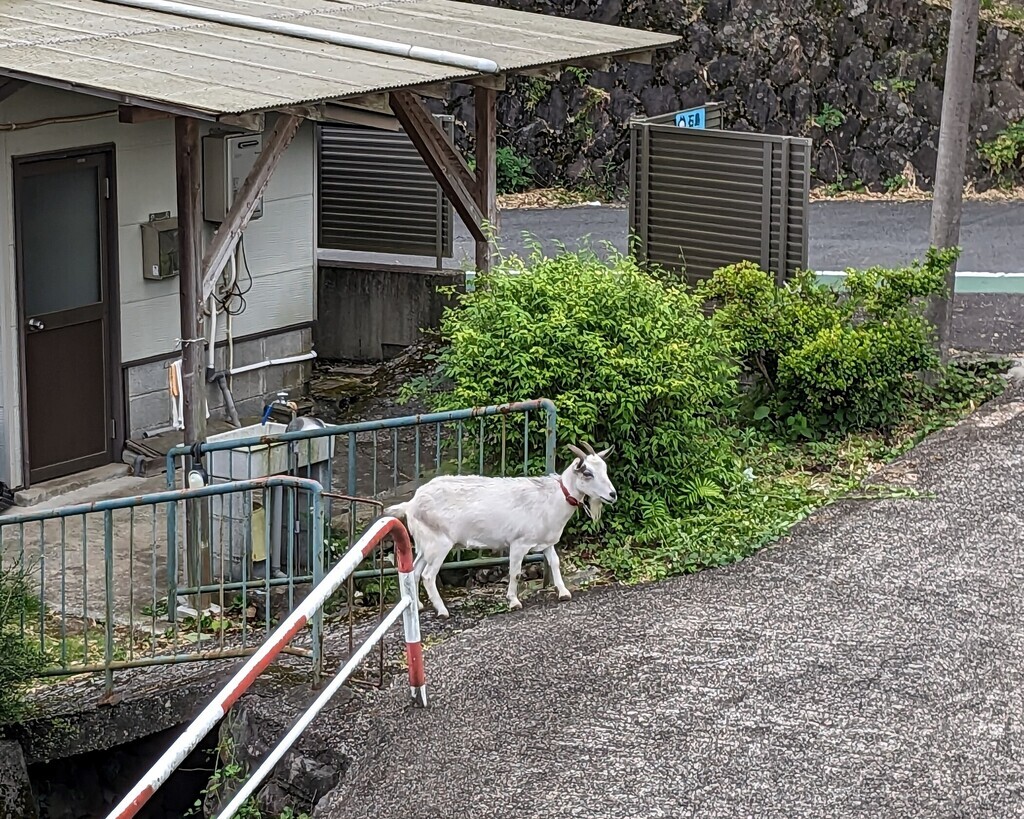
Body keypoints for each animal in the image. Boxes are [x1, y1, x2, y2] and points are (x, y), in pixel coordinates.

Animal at [385, 442, 614, 614]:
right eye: (587, 473)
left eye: (604, 469)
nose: (612, 495)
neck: (550, 498)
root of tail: (410, 504)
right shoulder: (518, 543)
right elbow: (515, 572)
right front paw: (513, 601)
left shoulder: (546, 541)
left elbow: (555, 563)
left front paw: (564, 592)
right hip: (439, 543)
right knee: (428, 575)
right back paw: (442, 611)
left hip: (425, 543)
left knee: (415, 572)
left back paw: (419, 606)